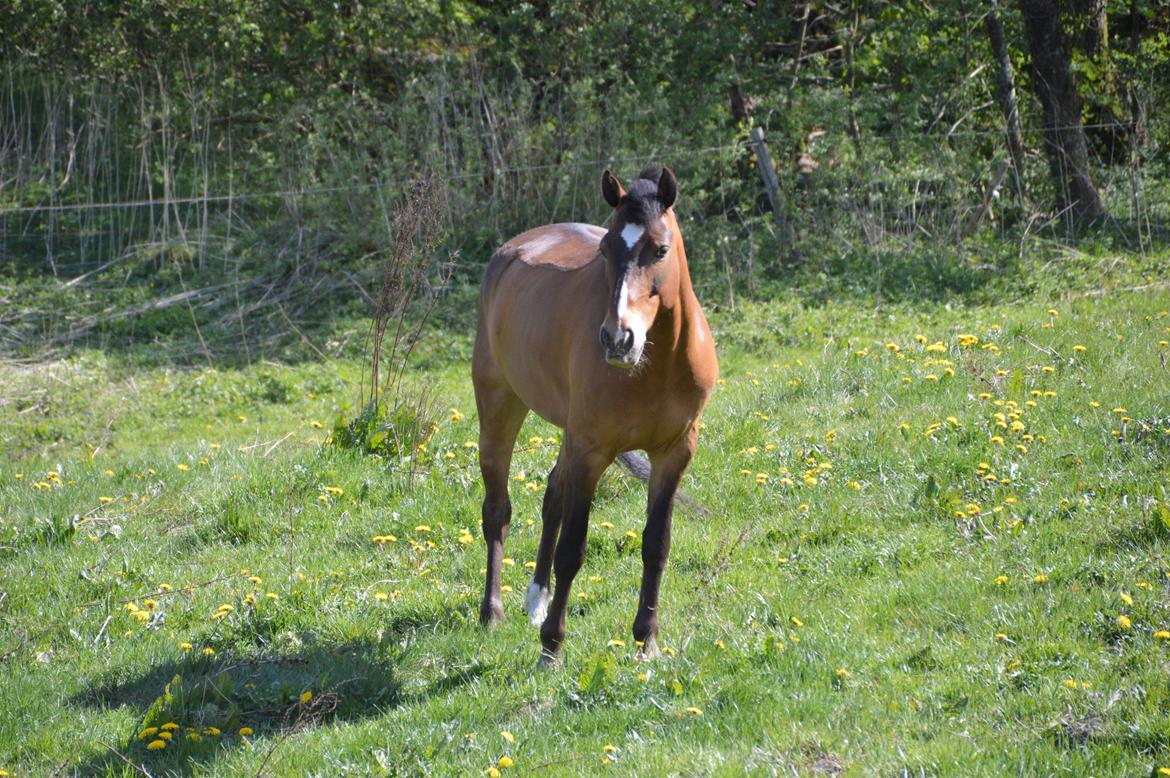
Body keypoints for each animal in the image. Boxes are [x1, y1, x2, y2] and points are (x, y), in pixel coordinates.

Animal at [472, 163, 711, 659]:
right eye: (605, 249)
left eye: (660, 249)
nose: (618, 339)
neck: (654, 366)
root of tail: (510, 251)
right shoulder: (591, 452)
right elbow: (572, 549)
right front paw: (552, 649)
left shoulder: (675, 452)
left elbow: (656, 544)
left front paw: (646, 642)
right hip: (501, 409)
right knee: (498, 511)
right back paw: (493, 612)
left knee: (551, 497)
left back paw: (536, 599)